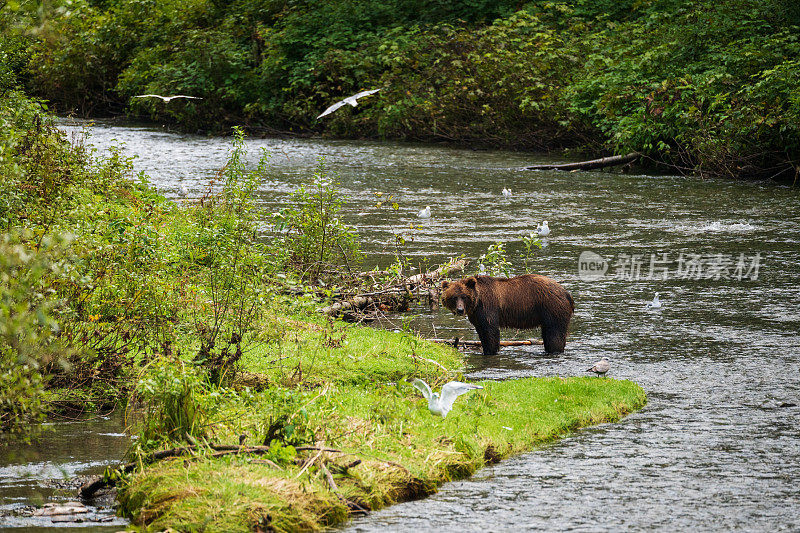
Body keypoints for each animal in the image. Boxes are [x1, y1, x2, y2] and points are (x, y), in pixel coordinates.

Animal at [440, 274, 572, 354]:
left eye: (464, 296)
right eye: (454, 297)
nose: (460, 310)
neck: (477, 302)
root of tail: (566, 292)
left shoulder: (488, 307)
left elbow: (490, 332)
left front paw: (491, 351)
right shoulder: (476, 316)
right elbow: (482, 332)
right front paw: (485, 349)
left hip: (552, 308)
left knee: (554, 334)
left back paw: (555, 350)